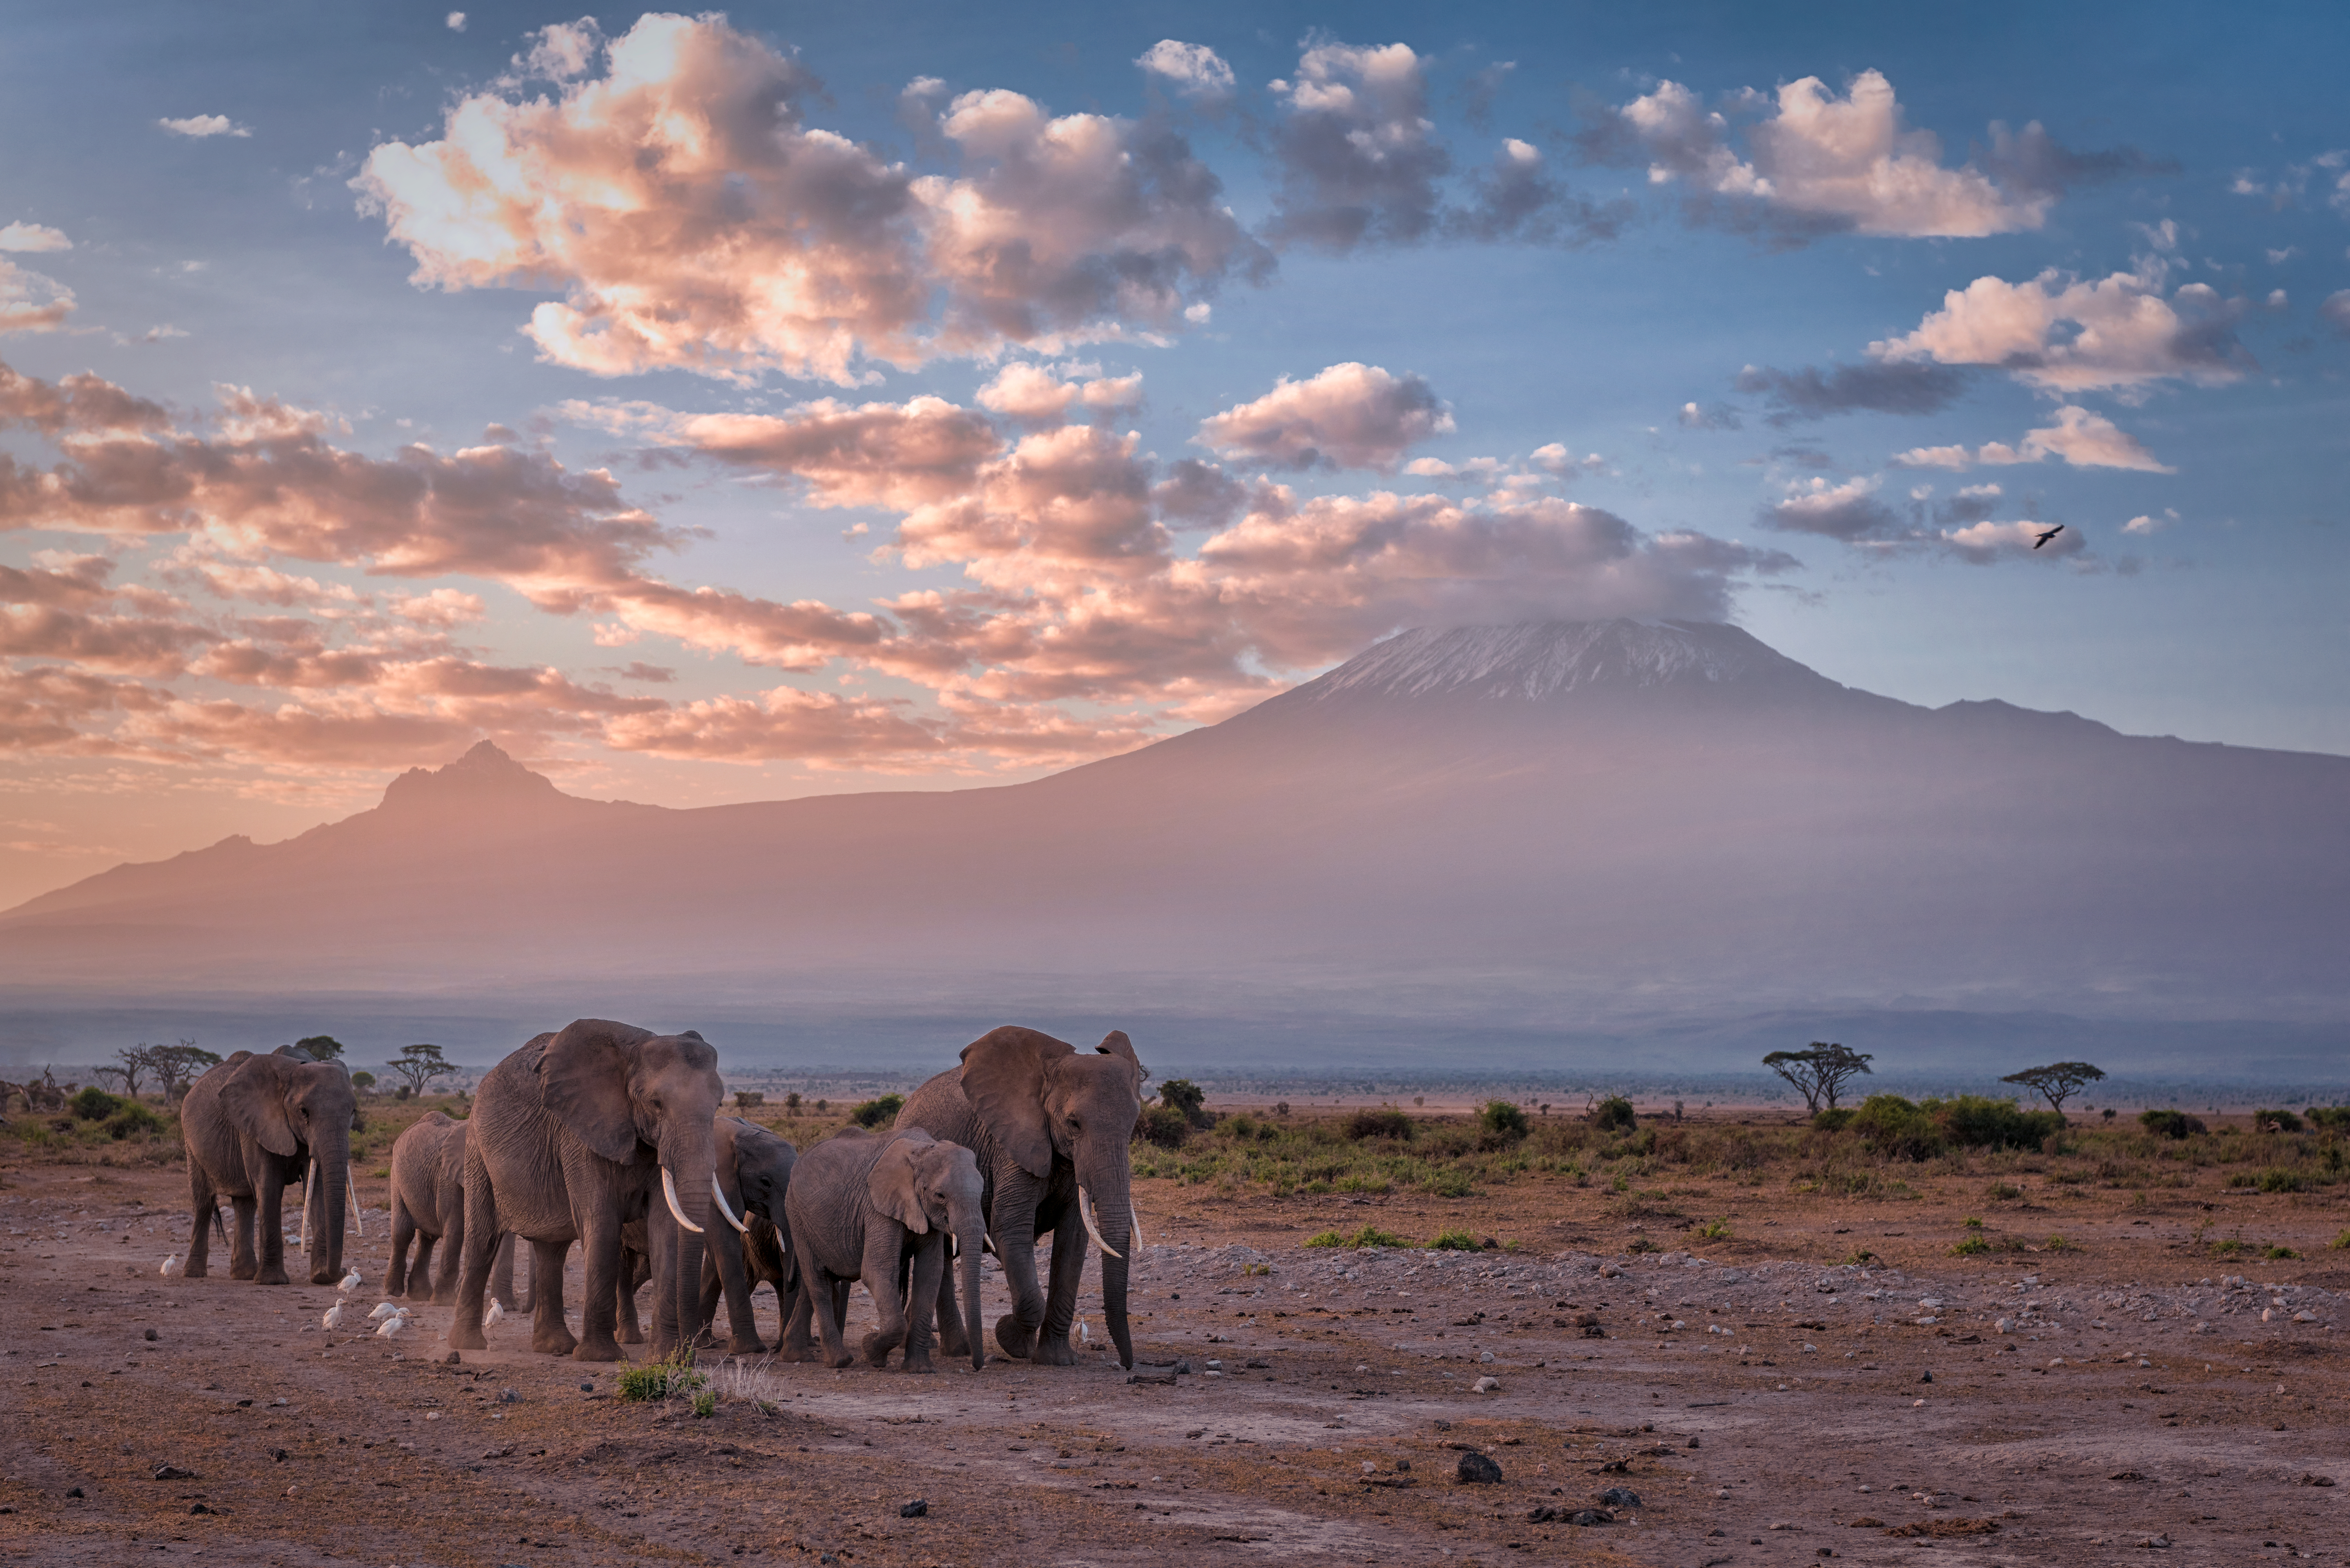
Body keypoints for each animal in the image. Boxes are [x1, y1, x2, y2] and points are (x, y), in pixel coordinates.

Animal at [179, 1049, 360, 1286]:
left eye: (353, 1111)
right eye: (304, 1112)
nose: (341, 1272)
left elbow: (317, 1189)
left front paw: (321, 1277)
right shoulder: (256, 1125)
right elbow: (269, 1186)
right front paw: (273, 1281)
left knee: (244, 1204)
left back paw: (245, 1275)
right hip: (191, 1142)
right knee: (204, 1202)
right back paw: (194, 1274)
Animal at [384, 1111, 518, 1307]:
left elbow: (505, 1234)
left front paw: (508, 1306)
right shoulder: (449, 1179)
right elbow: (456, 1228)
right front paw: (444, 1302)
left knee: (427, 1239)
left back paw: (420, 1295)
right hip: (397, 1177)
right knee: (403, 1232)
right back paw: (393, 1292)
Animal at [446, 1020, 733, 1362]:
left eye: (719, 1105)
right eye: (656, 1103)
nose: (689, 1352)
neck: (634, 1052)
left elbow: (666, 1227)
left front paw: (665, 1359)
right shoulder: (581, 1137)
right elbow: (602, 1222)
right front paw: (601, 1357)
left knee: (552, 1250)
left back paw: (555, 1348)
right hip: (478, 1153)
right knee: (483, 1241)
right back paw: (469, 1345)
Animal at [782, 1127, 985, 1372]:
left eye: (983, 1192)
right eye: (940, 1196)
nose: (976, 1366)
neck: (923, 1149)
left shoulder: (924, 1213)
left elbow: (929, 1274)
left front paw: (919, 1370)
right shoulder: (876, 1206)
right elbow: (876, 1272)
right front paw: (870, 1351)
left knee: (811, 1283)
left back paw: (795, 1355)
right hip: (796, 1215)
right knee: (818, 1281)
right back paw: (840, 1361)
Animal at [895, 1027, 1144, 1368]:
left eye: (1134, 1124)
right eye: (1074, 1124)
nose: (1128, 1365)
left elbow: (1074, 1239)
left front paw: (1056, 1360)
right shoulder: (1012, 1147)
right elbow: (1010, 1230)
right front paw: (1009, 1338)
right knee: (942, 1253)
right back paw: (959, 1349)